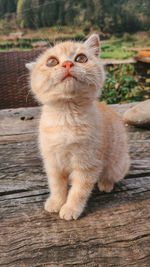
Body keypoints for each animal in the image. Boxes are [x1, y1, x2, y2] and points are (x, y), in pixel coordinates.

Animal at [26, 33, 130, 221]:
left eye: (81, 58)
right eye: (52, 61)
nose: (68, 63)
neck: (67, 117)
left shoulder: (88, 163)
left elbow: (79, 190)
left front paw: (70, 208)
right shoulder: (52, 161)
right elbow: (56, 185)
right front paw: (56, 202)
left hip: (117, 164)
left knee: (111, 175)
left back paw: (105, 183)